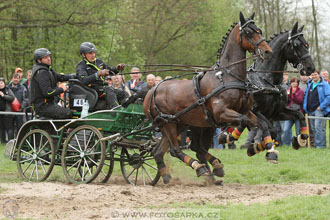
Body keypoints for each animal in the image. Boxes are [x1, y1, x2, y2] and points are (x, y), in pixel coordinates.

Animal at [143, 12, 272, 184]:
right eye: (248, 32)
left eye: (259, 30)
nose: (267, 51)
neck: (227, 76)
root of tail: (151, 91)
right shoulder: (221, 113)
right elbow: (243, 122)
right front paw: (228, 138)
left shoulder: (245, 111)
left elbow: (262, 123)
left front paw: (265, 149)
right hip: (168, 123)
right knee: (176, 150)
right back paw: (200, 168)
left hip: (178, 123)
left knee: (159, 151)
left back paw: (167, 176)